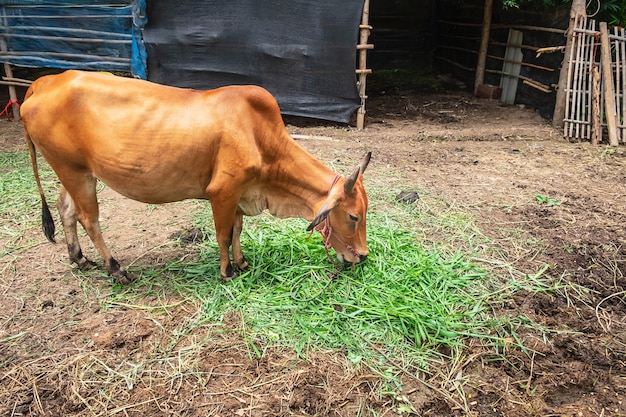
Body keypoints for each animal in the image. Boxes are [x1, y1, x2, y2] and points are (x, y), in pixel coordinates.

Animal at [22, 70, 368, 282]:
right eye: (353, 217)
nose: (363, 257)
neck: (260, 137)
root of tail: (45, 82)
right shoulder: (222, 191)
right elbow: (223, 234)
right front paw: (227, 272)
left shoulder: (239, 193)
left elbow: (237, 231)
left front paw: (242, 263)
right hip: (74, 172)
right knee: (89, 219)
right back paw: (116, 269)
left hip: (75, 171)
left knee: (66, 209)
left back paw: (79, 259)